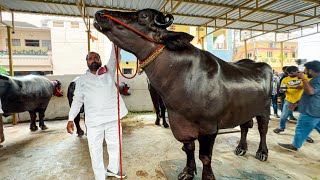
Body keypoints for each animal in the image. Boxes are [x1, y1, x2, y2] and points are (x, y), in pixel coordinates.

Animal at [94, 8, 272, 180]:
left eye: (143, 16)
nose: (100, 13)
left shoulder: (209, 128)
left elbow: (205, 157)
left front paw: (207, 176)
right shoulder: (179, 123)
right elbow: (188, 148)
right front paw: (188, 171)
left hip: (265, 109)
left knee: (263, 129)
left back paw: (262, 152)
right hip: (245, 109)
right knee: (245, 127)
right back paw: (241, 148)